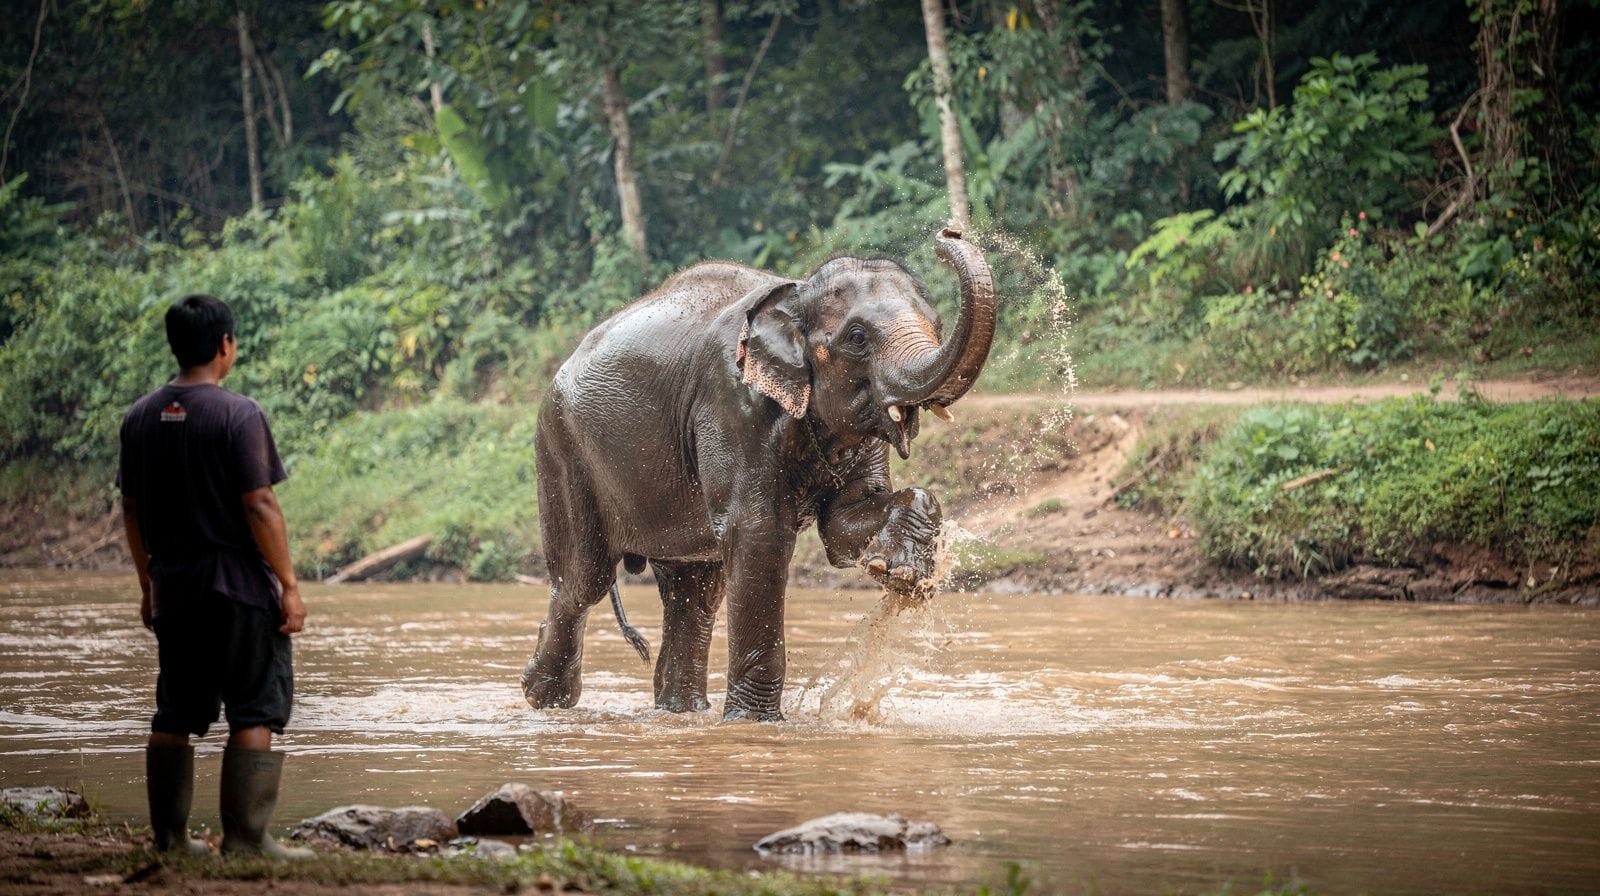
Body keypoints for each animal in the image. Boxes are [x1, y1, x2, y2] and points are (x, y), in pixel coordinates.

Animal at [520, 228, 997, 721]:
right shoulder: (731, 406)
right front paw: (755, 722)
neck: (797, 294)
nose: (948, 233)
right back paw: (544, 699)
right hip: (562, 450)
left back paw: (680, 711)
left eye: (937, 325)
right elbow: (758, 536)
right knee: (582, 580)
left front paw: (901, 575)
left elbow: (841, 530)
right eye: (857, 337)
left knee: (695, 591)